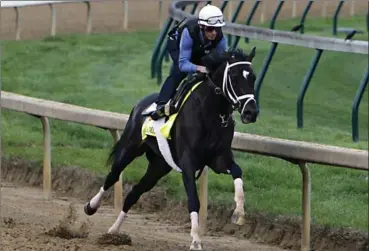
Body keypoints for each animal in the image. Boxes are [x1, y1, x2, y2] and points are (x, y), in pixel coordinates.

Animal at [83, 47, 258, 251]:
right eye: (234, 77)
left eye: (253, 77)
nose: (251, 112)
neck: (211, 112)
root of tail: (140, 103)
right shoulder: (188, 162)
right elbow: (193, 200)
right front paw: (196, 240)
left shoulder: (218, 159)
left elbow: (237, 171)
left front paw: (239, 213)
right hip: (130, 149)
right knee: (113, 176)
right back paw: (91, 206)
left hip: (159, 166)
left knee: (135, 193)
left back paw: (114, 231)